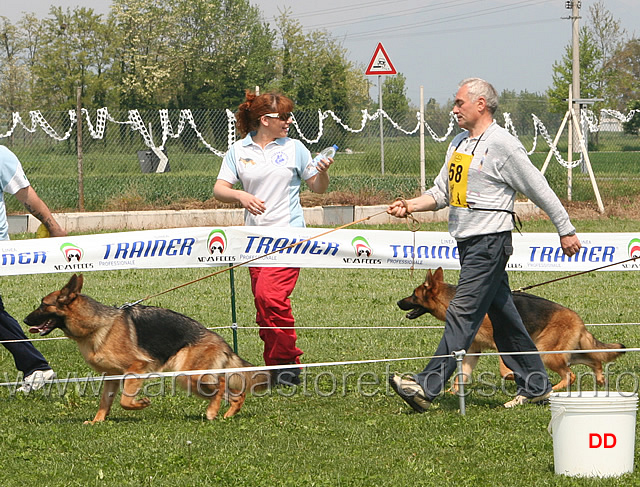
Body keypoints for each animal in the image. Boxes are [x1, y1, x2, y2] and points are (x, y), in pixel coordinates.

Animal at [24, 274, 270, 424]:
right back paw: (227, 414)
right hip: (191, 380)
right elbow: (105, 401)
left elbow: (125, 400)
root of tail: (221, 341)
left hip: (188, 375)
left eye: (43, 305)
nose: (25, 320)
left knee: (220, 385)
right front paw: (97, 421)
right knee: (234, 393)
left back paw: (212, 412)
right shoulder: (111, 377)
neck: (96, 324)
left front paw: (141, 403)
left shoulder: (137, 368)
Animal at [398, 268, 624, 390]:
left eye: (413, 295)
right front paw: (453, 393)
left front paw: (511, 376)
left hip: (547, 352)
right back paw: (599, 379)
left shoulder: (502, 342)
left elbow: (502, 368)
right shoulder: (472, 351)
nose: (399, 302)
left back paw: (556, 388)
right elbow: (462, 375)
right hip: (560, 351)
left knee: (571, 375)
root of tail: (578, 319)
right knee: (593, 360)